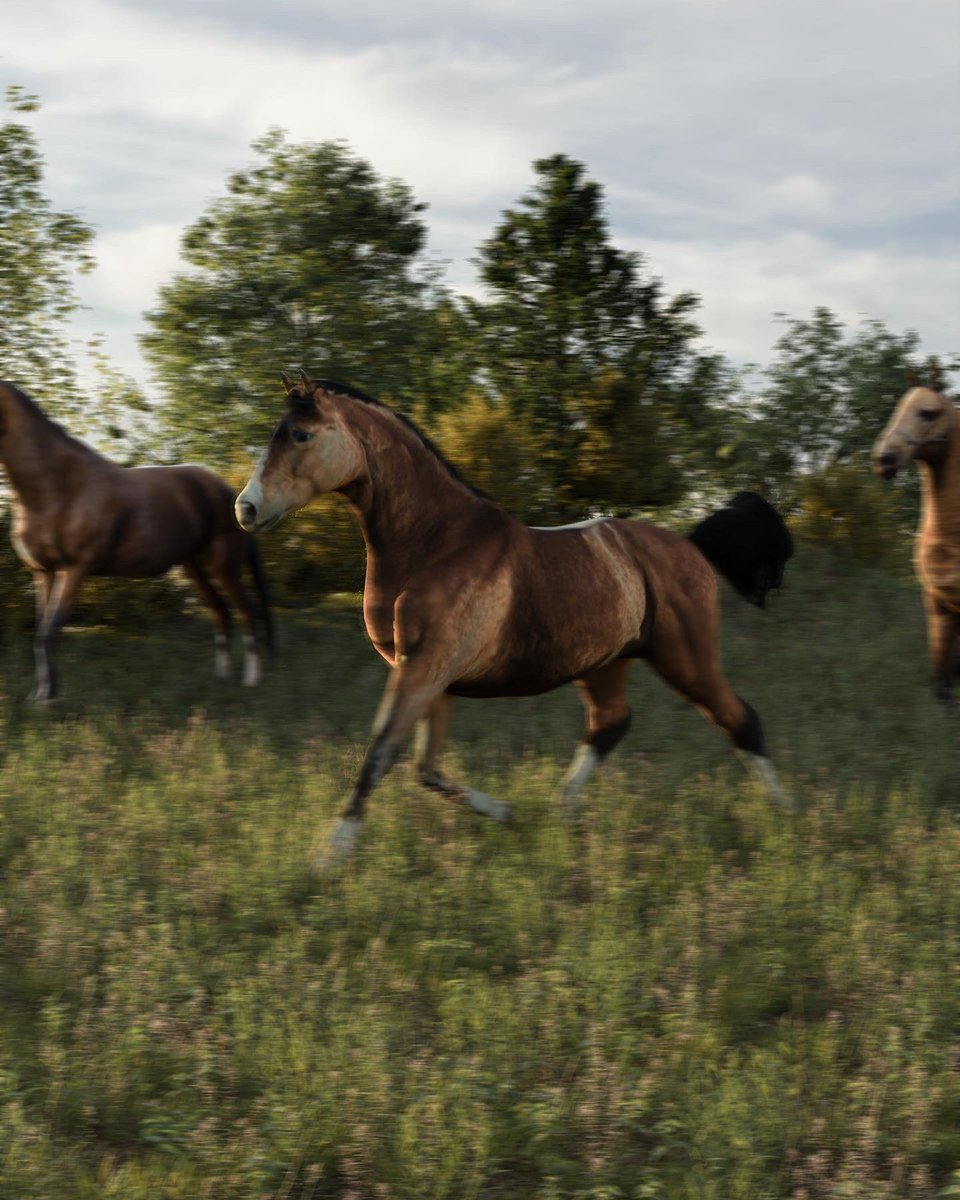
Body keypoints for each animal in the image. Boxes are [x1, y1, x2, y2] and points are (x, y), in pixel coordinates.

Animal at [0, 381, 274, 701]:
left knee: (246, 611)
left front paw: (48, 700)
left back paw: (252, 681)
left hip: (223, 568)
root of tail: (234, 496)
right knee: (221, 612)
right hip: (193, 569)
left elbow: (49, 632)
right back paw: (222, 678)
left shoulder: (74, 569)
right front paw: (42, 694)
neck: (58, 487)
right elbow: (41, 633)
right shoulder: (43, 572)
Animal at [237, 372, 789, 868]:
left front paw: (329, 856)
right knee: (610, 724)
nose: (247, 508)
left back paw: (783, 816)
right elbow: (425, 768)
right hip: (604, 664)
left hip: (685, 659)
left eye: (301, 435)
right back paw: (558, 817)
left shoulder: (424, 669)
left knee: (740, 720)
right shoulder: (432, 678)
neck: (436, 545)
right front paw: (505, 813)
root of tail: (691, 545)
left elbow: (382, 753)